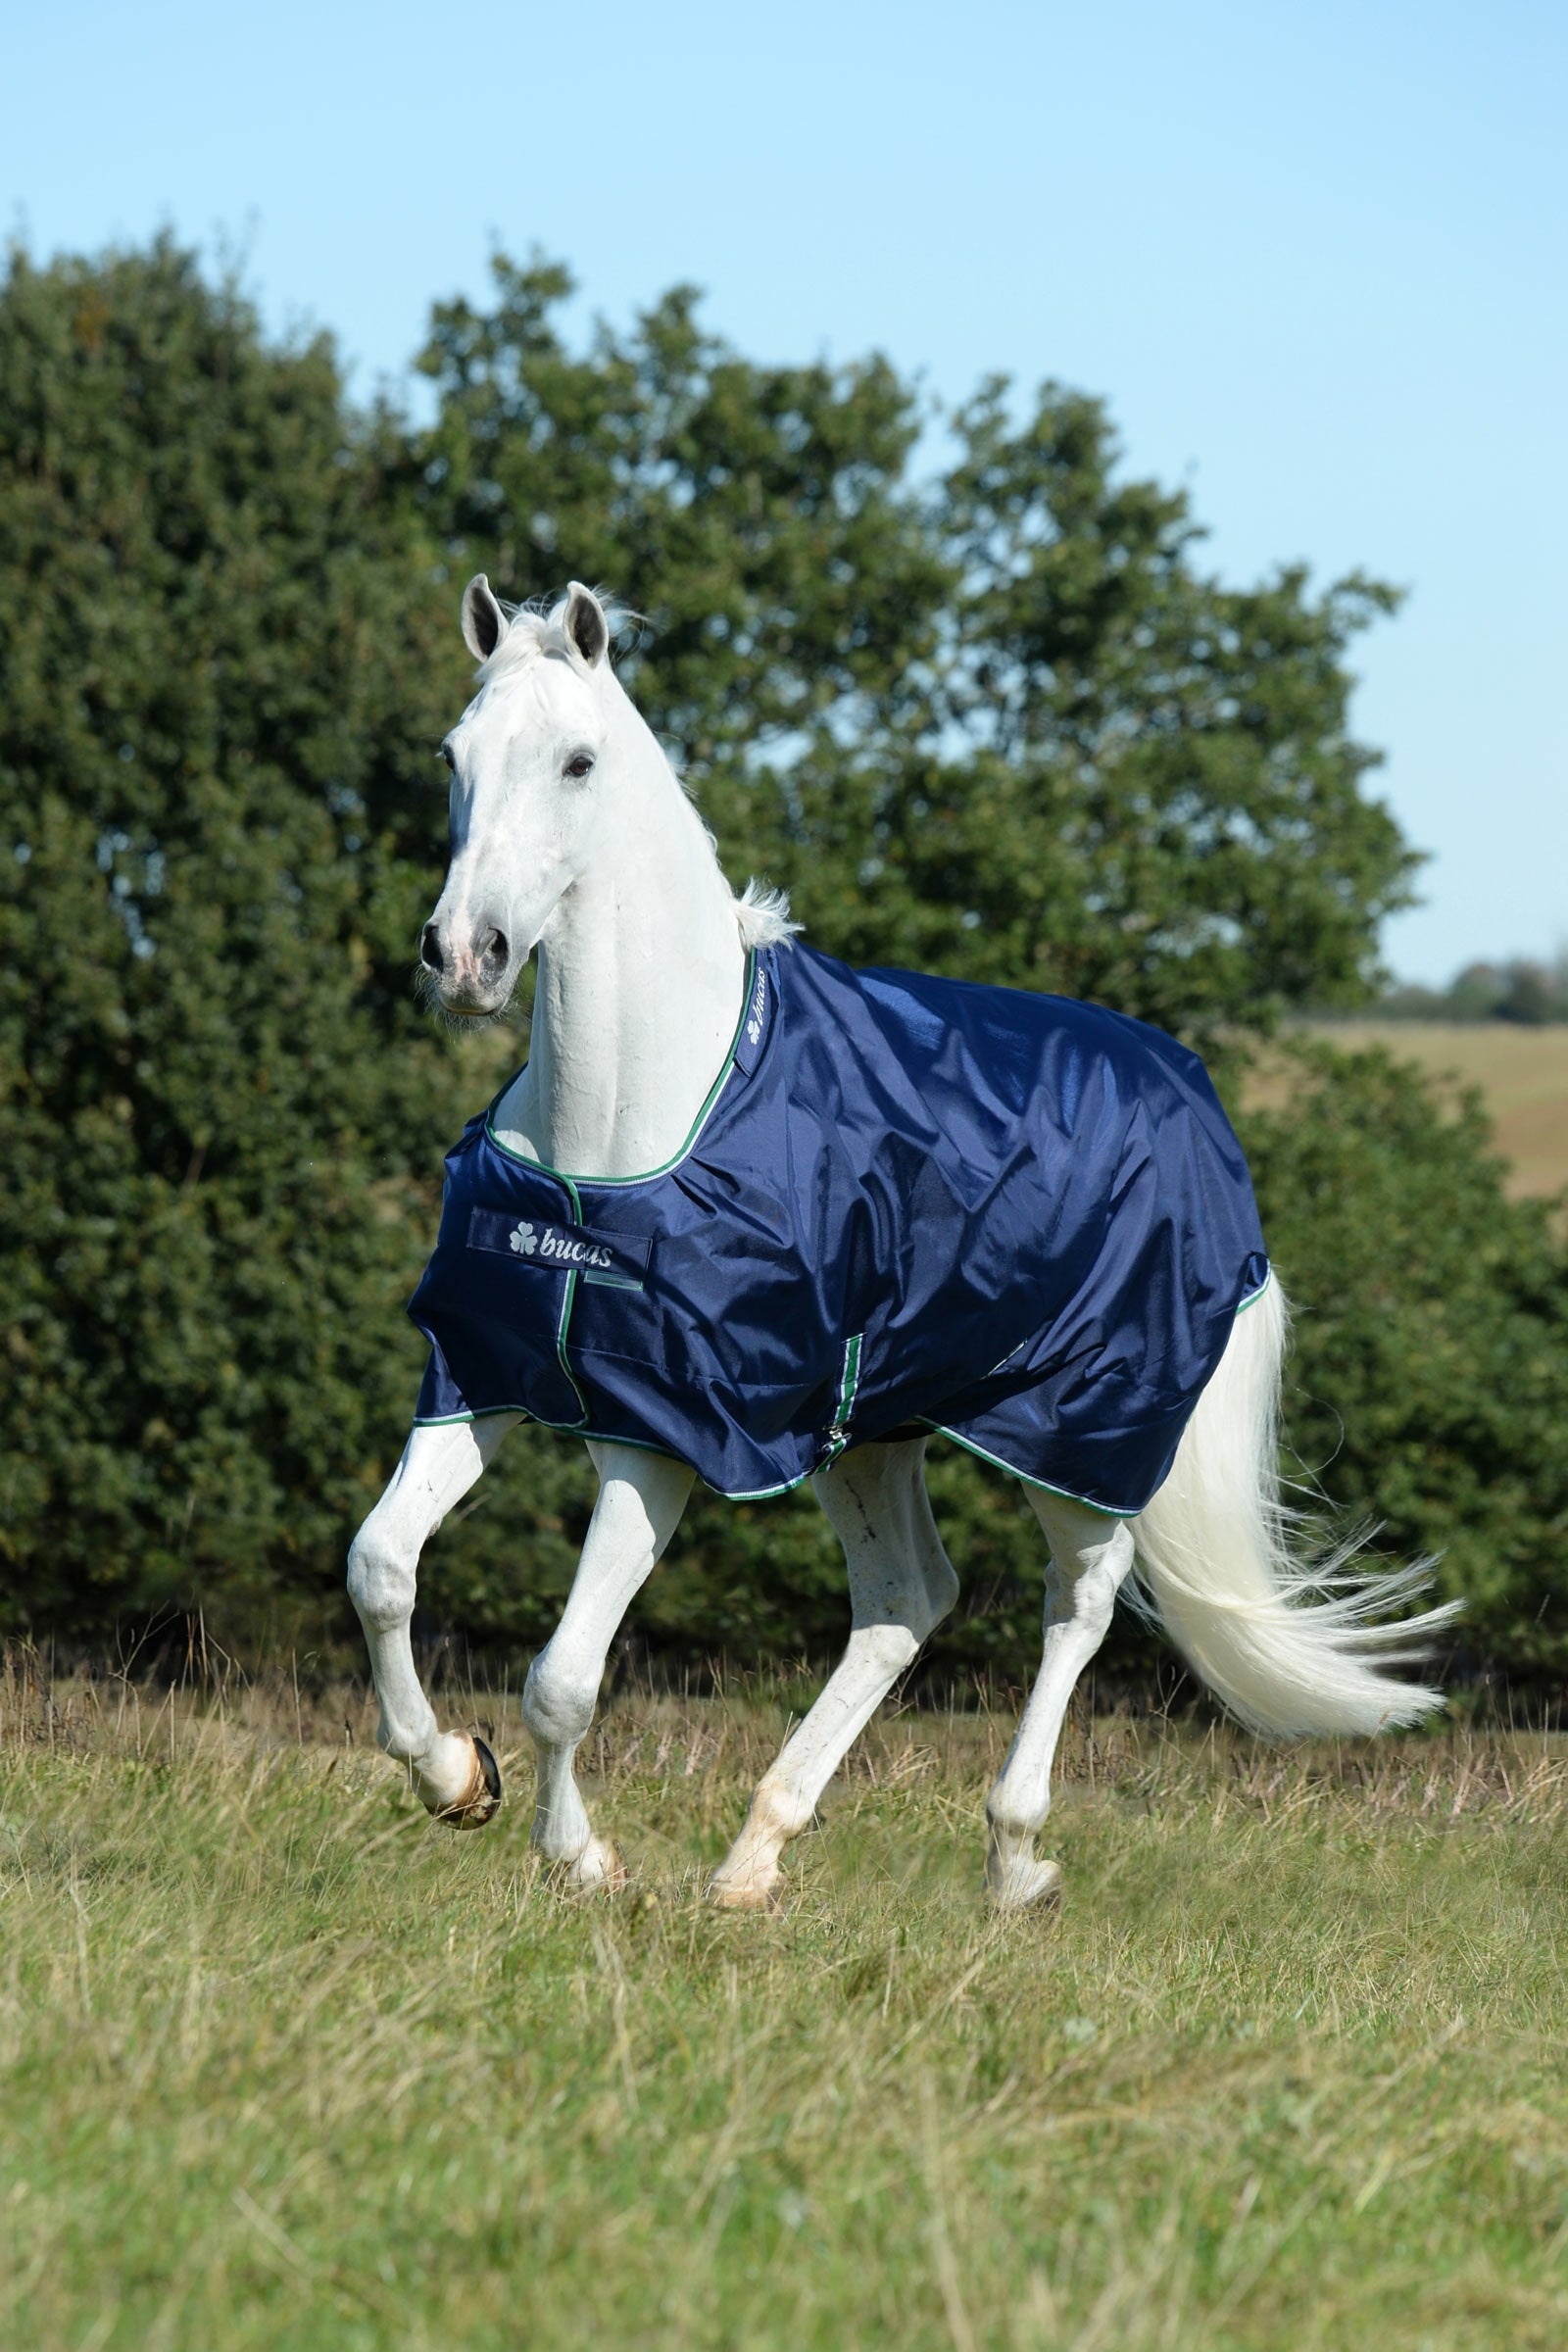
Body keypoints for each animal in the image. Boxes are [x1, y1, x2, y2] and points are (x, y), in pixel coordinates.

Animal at [346, 576, 1455, 1912]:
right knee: (906, 1599)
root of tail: (1191, 1095)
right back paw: (755, 1856)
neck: (621, 1130)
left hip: (1077, 1431)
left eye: (577, 761)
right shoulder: (486, 1373)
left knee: (1079, 1604)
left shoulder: (660, 1436)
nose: (466, 958)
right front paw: (453, 1776)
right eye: (451, 755)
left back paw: (1014, 1856)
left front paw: (581, 1860)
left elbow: (562, 1679)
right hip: (870, 1428)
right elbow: (380, 1567)